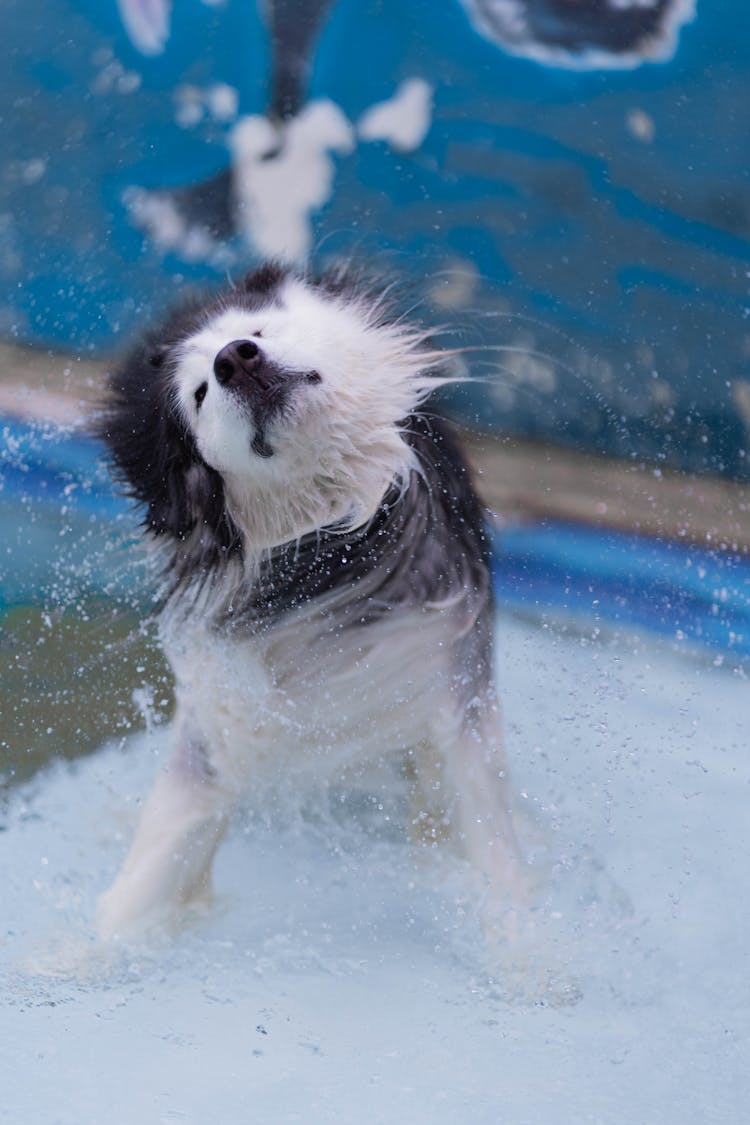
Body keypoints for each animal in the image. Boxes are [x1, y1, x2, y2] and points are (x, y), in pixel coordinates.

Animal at [95, 261, 528, 940]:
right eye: (198, 394)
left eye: (256, 330)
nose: (233, 359)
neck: (335, 547)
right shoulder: (218, 723)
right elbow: (152, 870)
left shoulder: (454, 683)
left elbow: (490, 839)